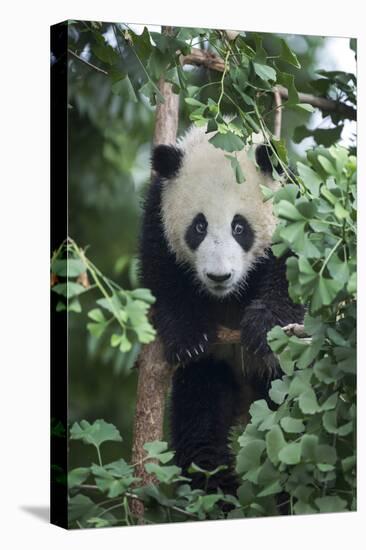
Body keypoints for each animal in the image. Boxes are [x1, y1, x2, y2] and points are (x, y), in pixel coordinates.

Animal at [140, 125, 304, 496]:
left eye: (239, 227)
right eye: (198, 227)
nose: (219, 276)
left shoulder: (294, 205)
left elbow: (297, 273)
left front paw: (263, 327)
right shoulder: (157, 216)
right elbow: (163, 278)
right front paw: (189, 339)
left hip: (282, 377)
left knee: (290, 426)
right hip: (213, 370)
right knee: (200, 430)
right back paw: (217, 492)